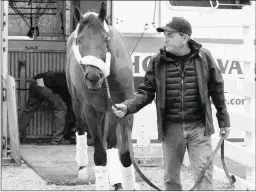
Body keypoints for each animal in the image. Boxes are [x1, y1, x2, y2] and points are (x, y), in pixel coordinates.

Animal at [66, 1, 137, 190]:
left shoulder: (123, 109)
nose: (93, 77)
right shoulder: (91, 111)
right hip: (77, 103)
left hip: (110, 111)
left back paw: (117, 181)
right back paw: (82, 171)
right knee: (81, 129)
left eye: (105, 40)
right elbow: (99, 155)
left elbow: (125, 155)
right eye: (79, 40)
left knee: (111, 142)